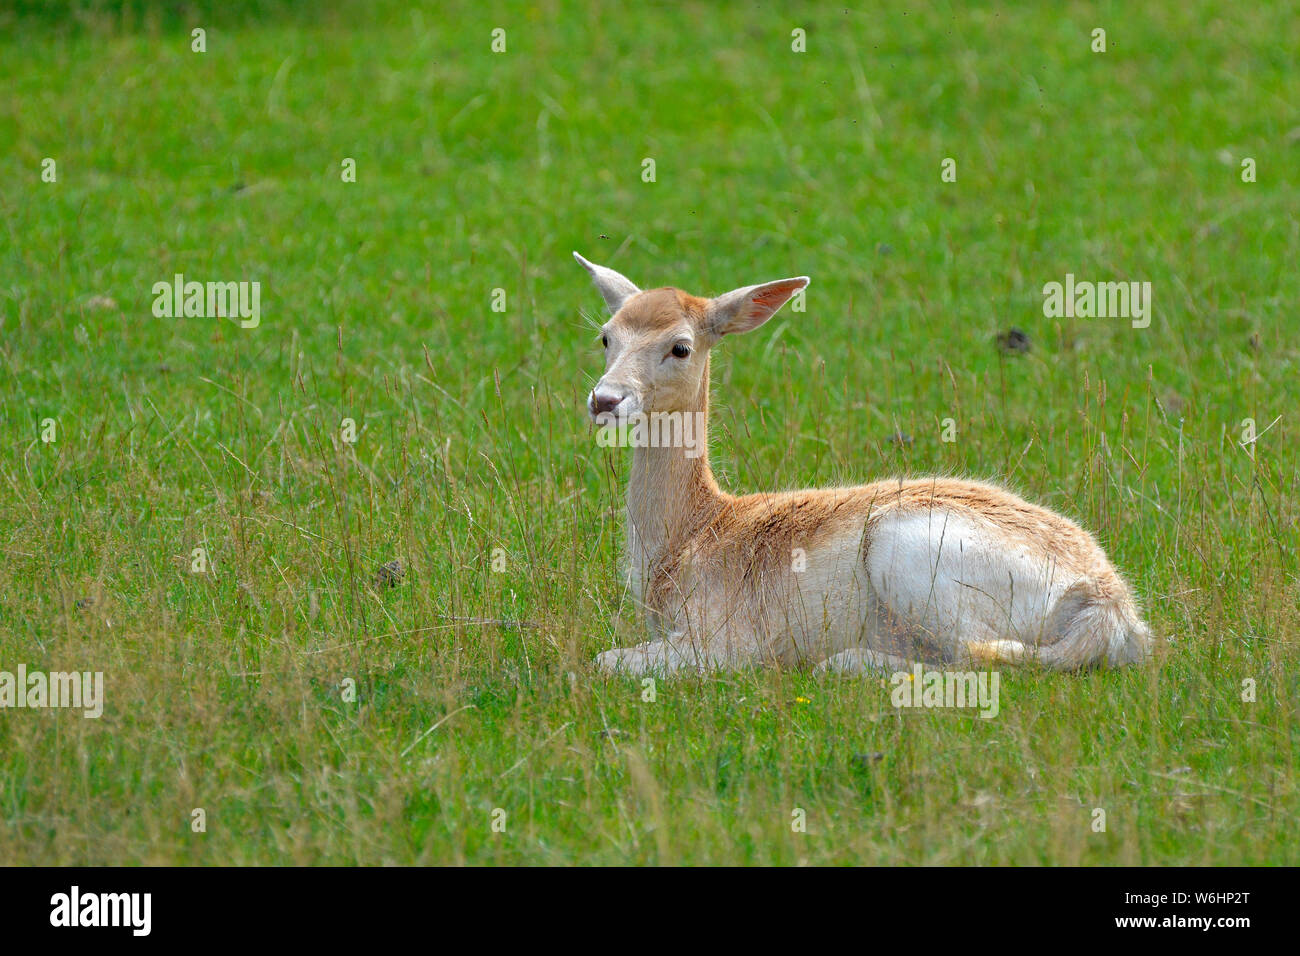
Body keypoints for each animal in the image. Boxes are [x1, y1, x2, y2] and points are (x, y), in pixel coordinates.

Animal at [574, 251, 1154, 676]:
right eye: (606, 335)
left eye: (681, 347)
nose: (604, 400)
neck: (689, 537)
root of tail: (1113, 607)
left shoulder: (725, 639)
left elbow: (608, 660)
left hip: (906, 554)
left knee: (978, 657)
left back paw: (846, 661)